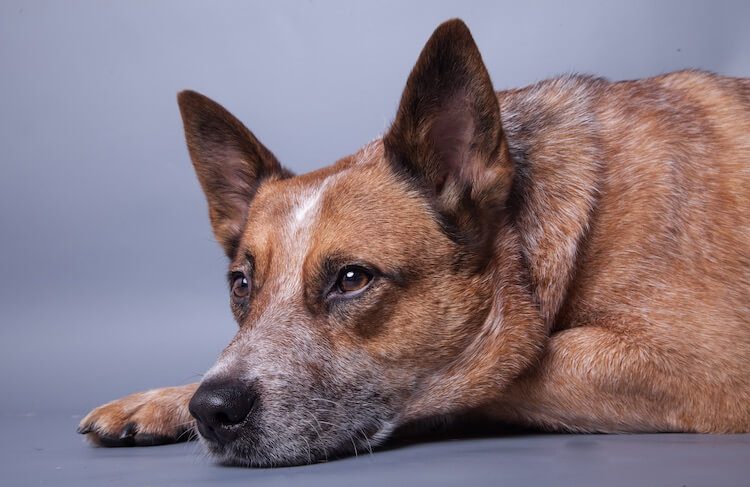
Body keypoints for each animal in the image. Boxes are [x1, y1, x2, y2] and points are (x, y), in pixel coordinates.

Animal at [78, 19, 750, 468]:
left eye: (352, 278)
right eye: (242, 285)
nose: (213, 410)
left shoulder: (705, 369)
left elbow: (505, 369)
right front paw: (163, 401)